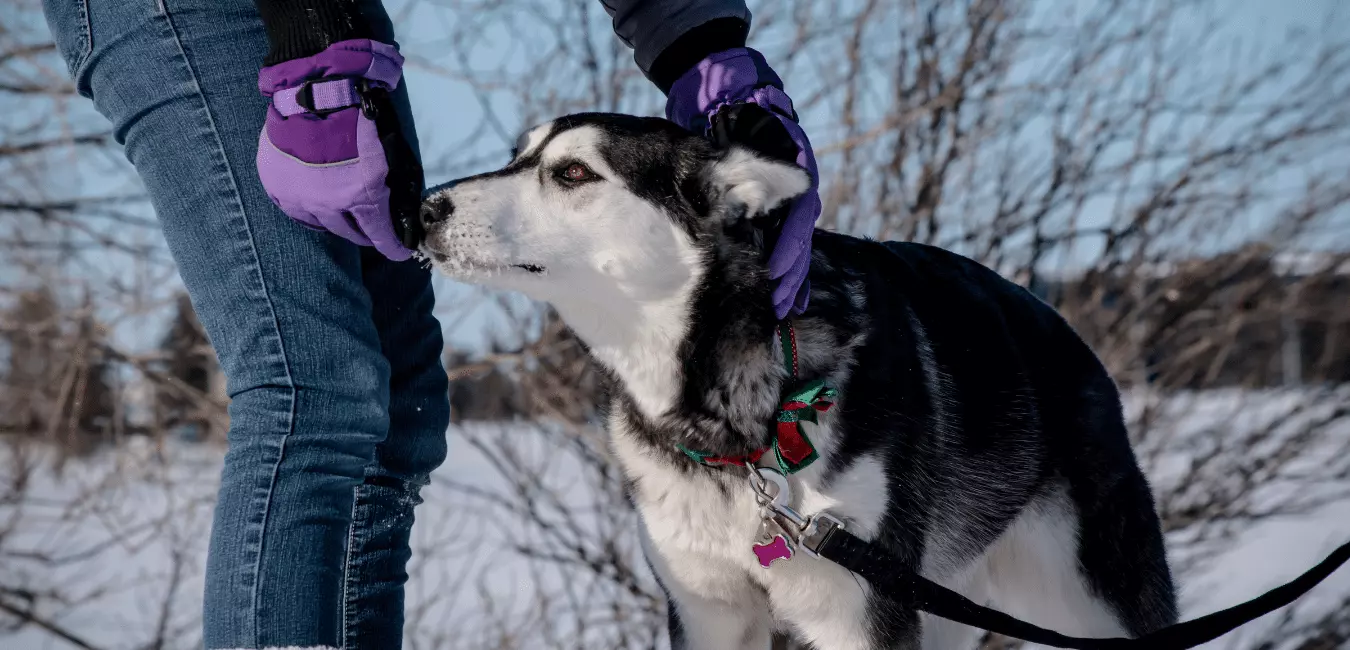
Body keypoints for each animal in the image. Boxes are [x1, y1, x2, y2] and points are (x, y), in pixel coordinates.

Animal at [415, 112, 1177, 648]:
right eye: (517, 156)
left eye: (573, 173)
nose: (423, 208)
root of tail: (1060, 325)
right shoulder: (708, 611)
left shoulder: (859, 613)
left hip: (1089, 595)